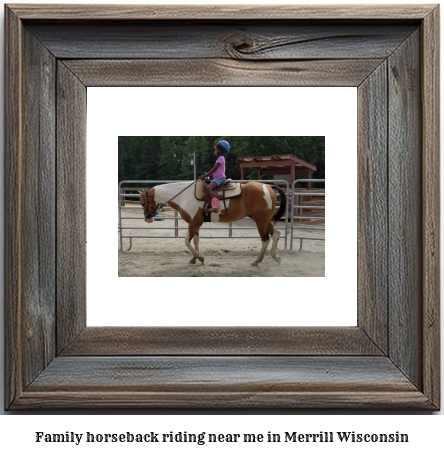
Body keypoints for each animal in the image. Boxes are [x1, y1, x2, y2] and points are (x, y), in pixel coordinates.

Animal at [139, 181, 288, 268]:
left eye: (142, 202)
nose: (147, 218)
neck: (184, 196)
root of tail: (268, 186)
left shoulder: (193, 223)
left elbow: (187, 242)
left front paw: (200, 257)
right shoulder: (195, 224)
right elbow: (196, 241)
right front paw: (195, 258)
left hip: (260, 221)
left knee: (265, 239)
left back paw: (257, 261)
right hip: (263, 220)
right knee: (276, 234)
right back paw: (276, 257)